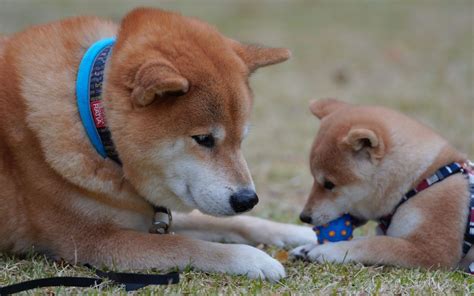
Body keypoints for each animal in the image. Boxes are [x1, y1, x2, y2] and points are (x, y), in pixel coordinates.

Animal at [0, 7, 314, 280]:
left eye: (241, 139)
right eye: (204, 139)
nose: (248, 199)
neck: (93, 126)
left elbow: (234, 222)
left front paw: (304, 233)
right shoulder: (91, 241)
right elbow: (181, 245)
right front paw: (252, 258)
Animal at [290, 99, 472, 270]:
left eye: (329, 184)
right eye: (314, 179)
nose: (304, 217)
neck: (420, 180)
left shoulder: (434, 251)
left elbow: (376, 244)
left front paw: (329, 250)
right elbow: (369, 238)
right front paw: (308, 248)